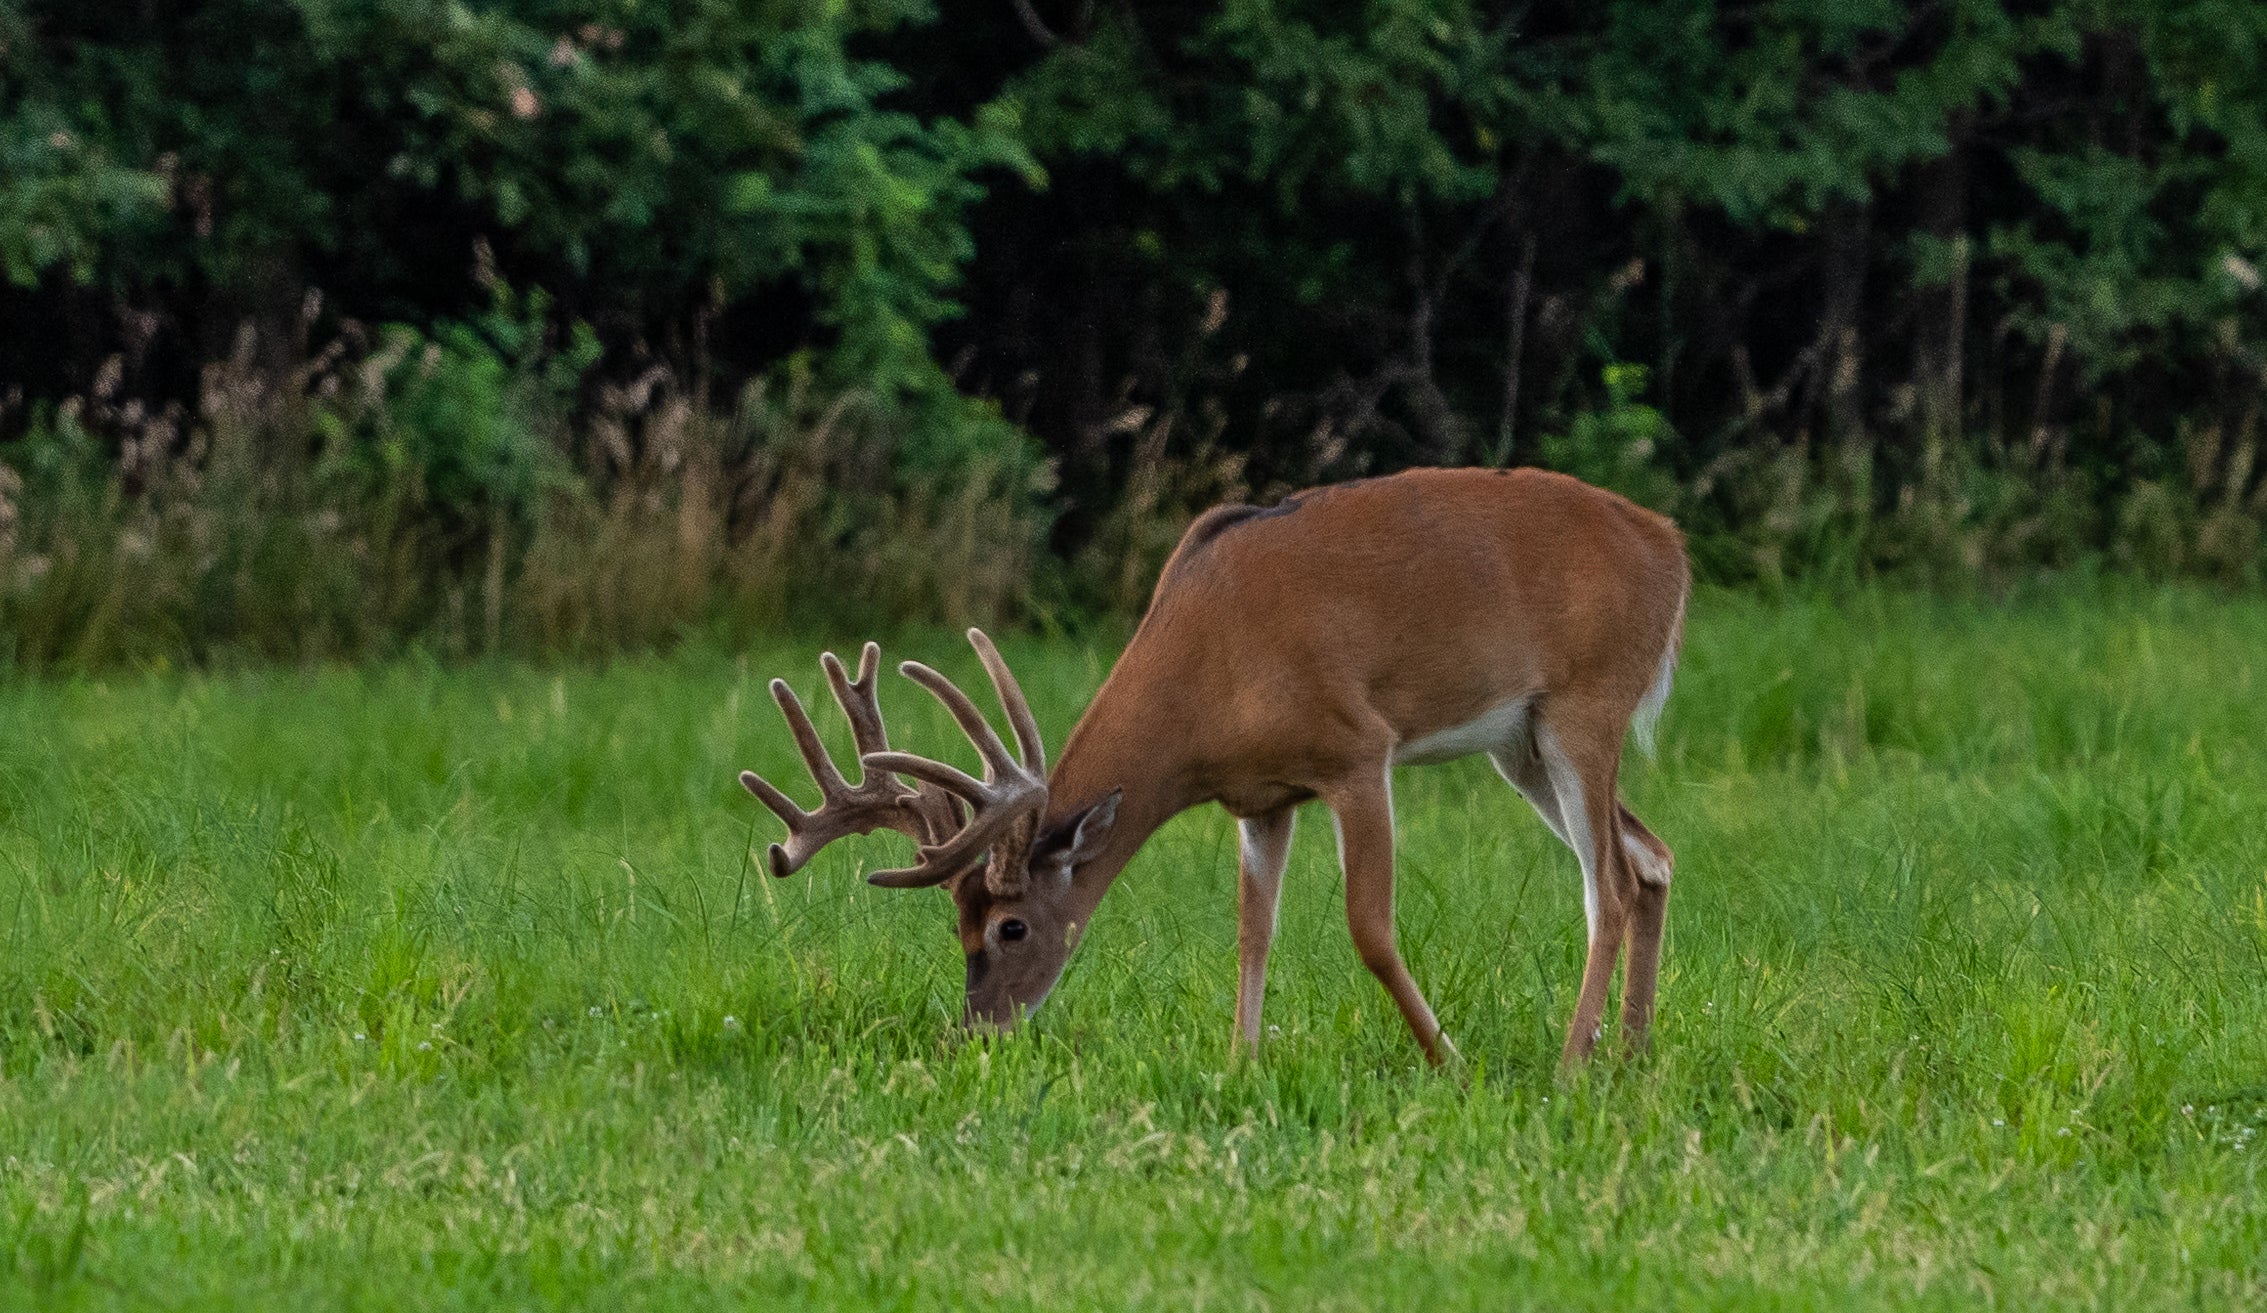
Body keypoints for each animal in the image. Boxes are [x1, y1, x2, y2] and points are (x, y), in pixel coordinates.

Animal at [737, 466, 1689, 1067]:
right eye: (955, 926)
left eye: (1008, 927)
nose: (976, 1034)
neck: (1210, 671)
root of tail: (1672, 549)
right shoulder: (1260, 795)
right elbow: (1251, 928)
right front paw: (1242, 1061)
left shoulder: (1354, 746)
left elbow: (1368, 926)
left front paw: (1449, 1061)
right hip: (1518, 742)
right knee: (1649, 857)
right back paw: (1630, 1055)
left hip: (1586, 702)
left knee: (1606, 879)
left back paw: (1570, 1064)